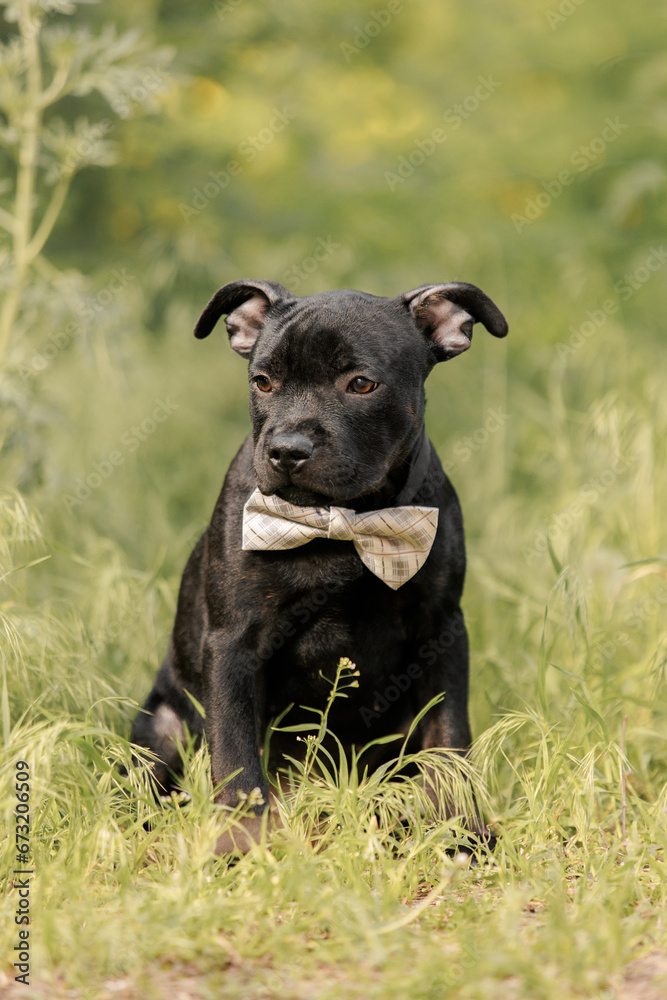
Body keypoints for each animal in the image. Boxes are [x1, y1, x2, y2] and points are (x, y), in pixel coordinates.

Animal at [129, 280, 506, 852]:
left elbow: (448, 740)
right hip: (163, 727)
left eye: (361, 384)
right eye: (262, 382)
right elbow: (236, 756)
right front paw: (242, 844)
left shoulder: (440, 629)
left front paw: (460, 829)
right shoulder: (234, 643)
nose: (287, 449)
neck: (342, 520)